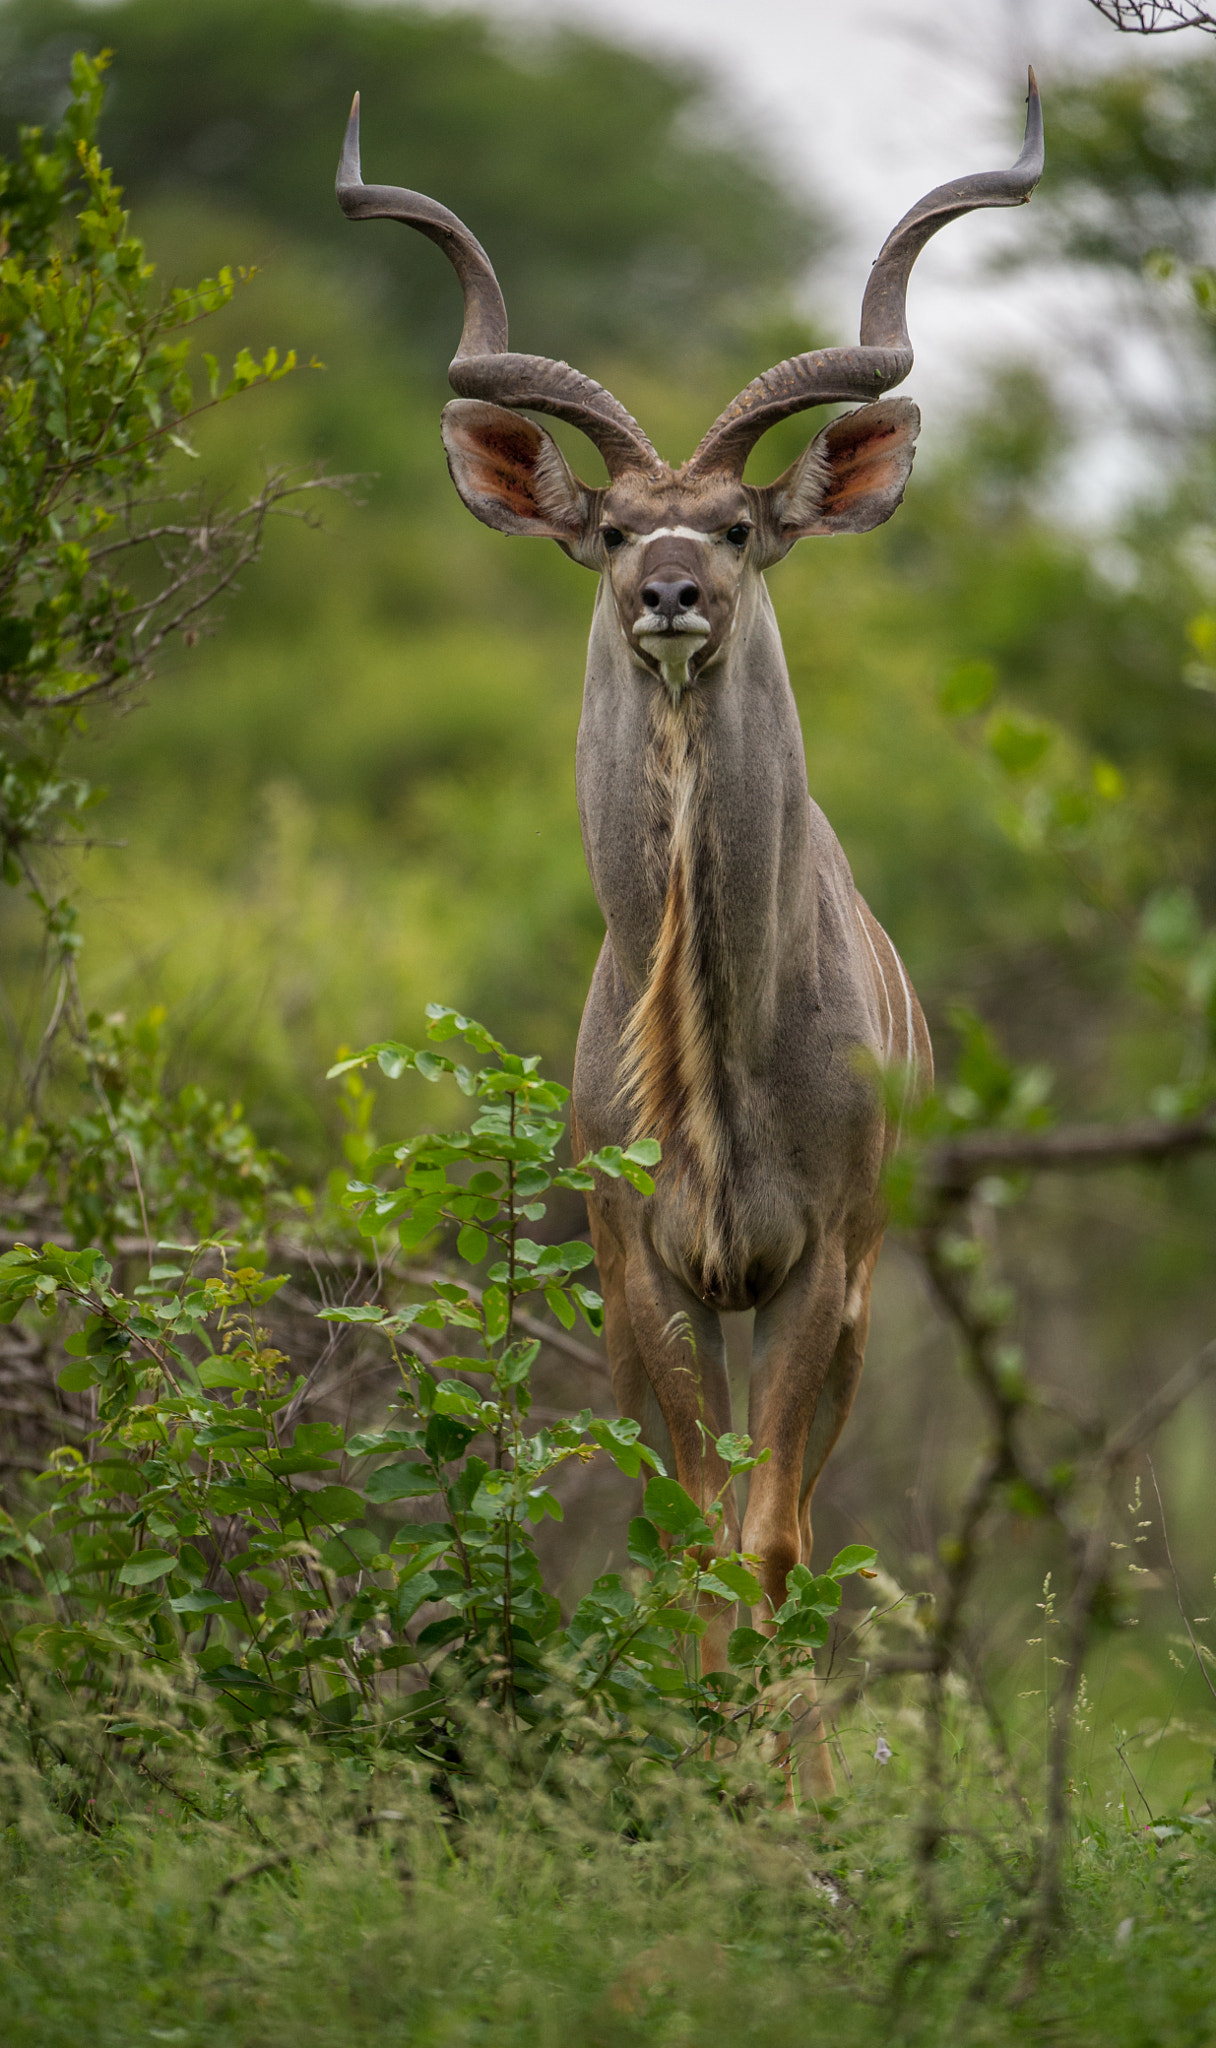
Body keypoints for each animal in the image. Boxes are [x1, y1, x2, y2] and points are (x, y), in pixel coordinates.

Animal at [333, 72, 1039, 1785]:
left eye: (733, 525)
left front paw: (777, 1794)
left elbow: (768, 1538)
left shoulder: (816, 1269)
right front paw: (699, 1763)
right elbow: (686, 1532)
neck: (716, 1048)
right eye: (607, 533)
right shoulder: (642, 1264)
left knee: (802, 1517)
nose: (667, 592)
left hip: (854, 1304)